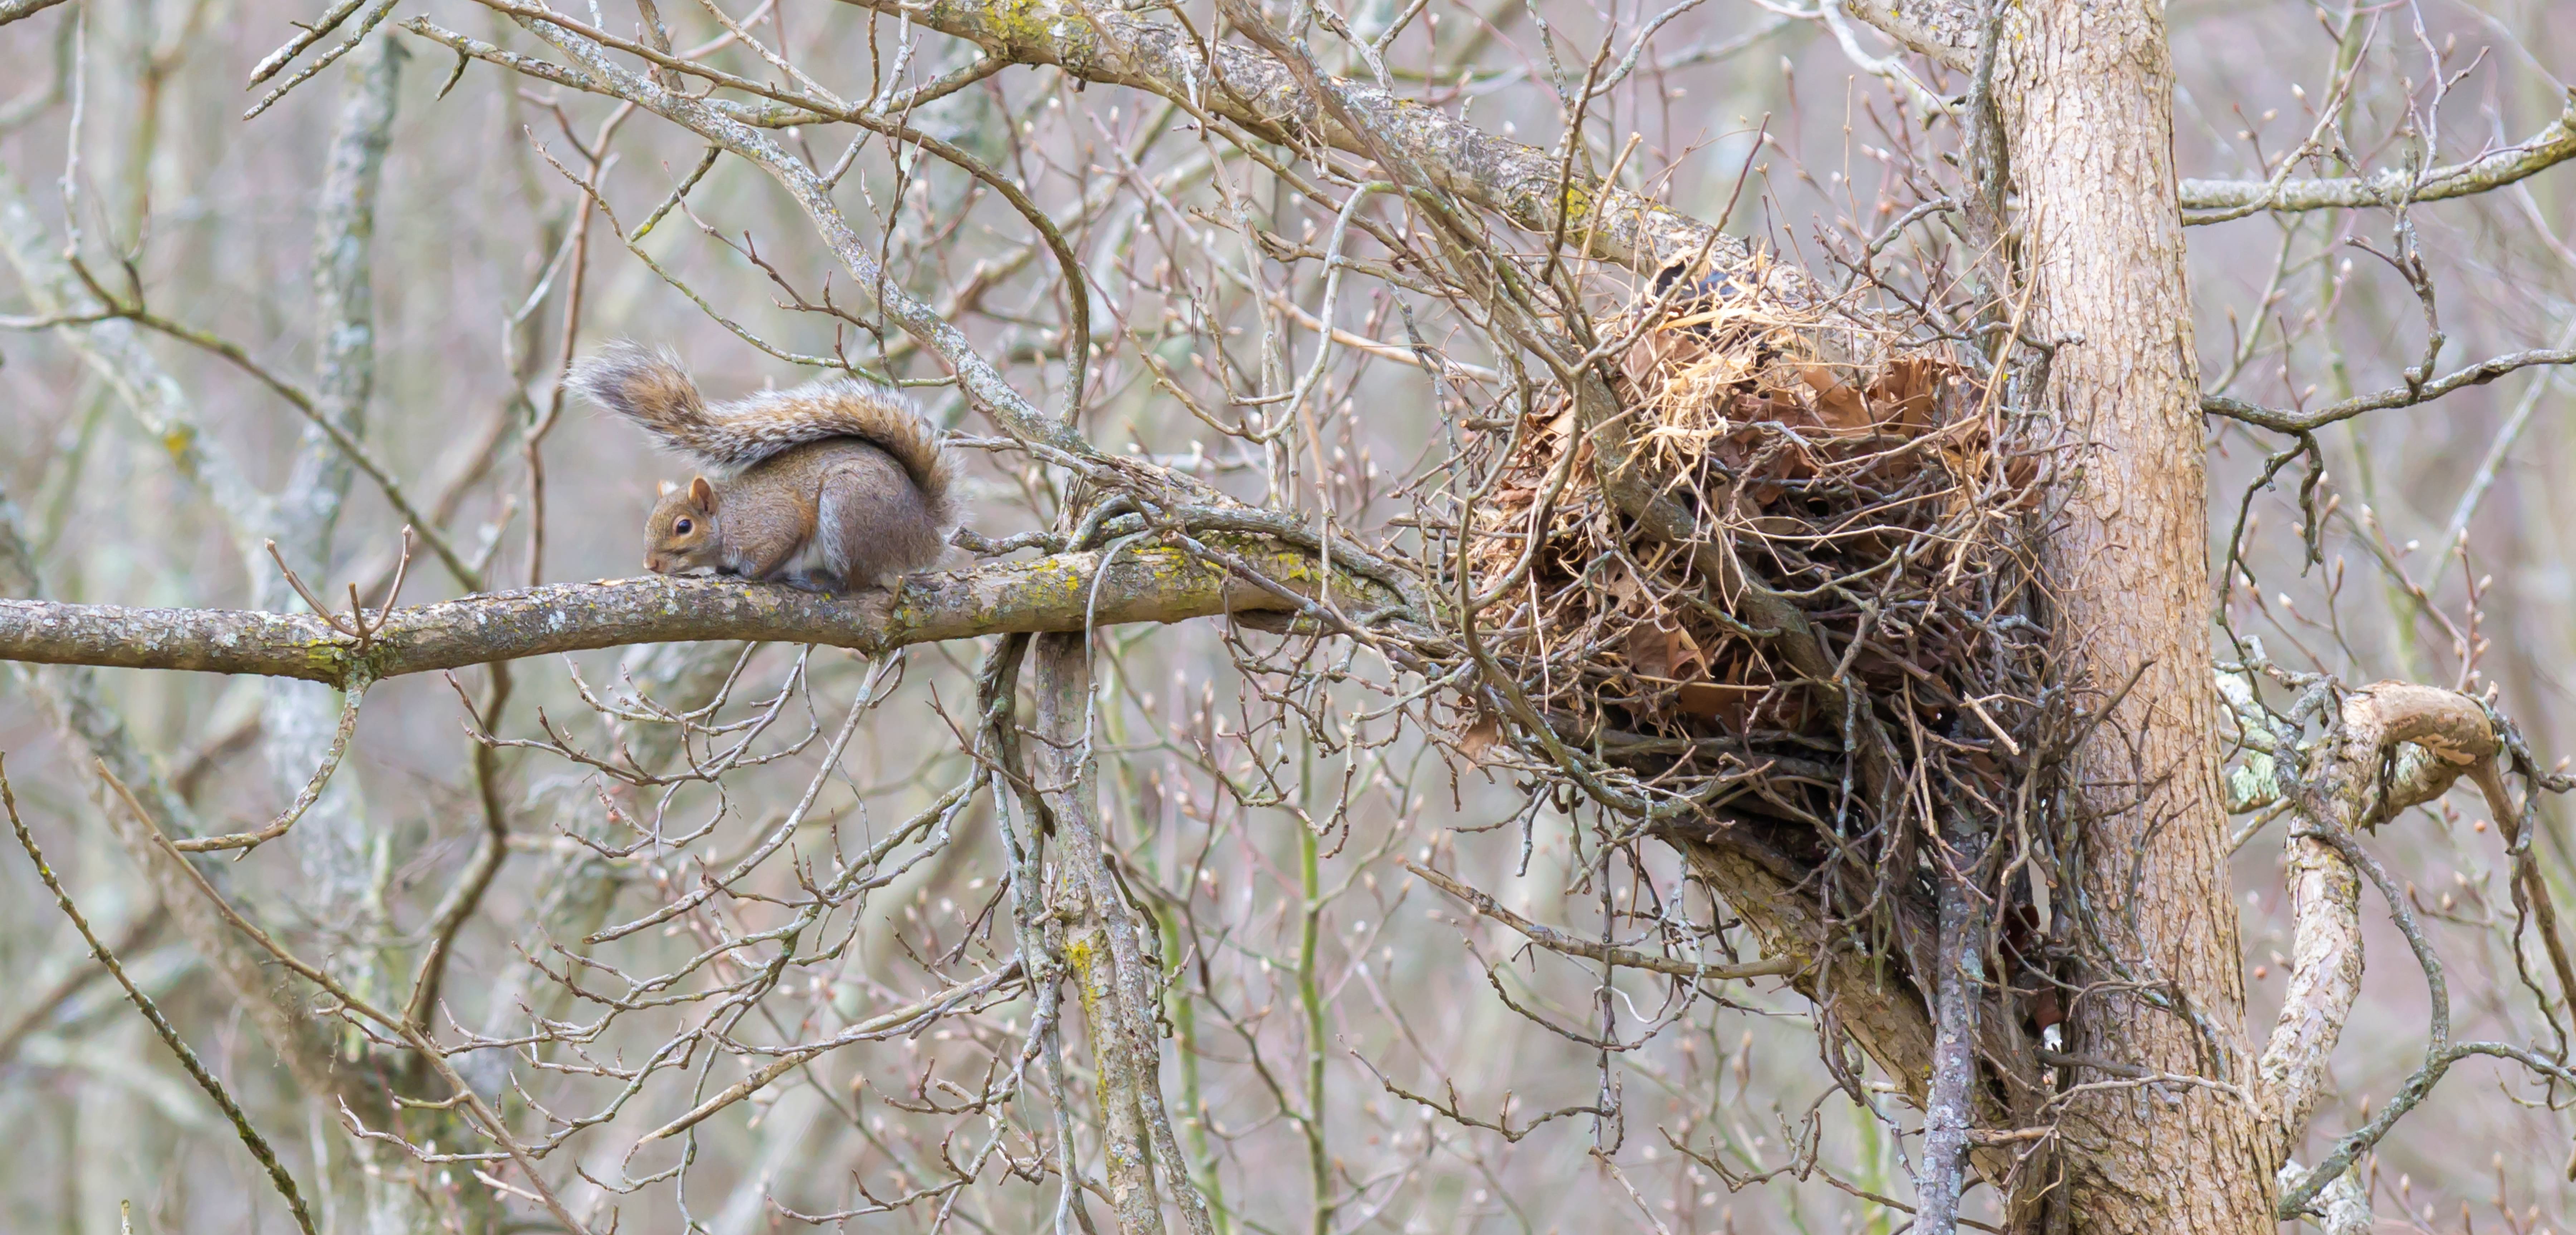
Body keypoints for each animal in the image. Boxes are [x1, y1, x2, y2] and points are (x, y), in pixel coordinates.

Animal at [569, 344, 963, 597]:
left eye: (684, 527)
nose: (650, 564)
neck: (729, 517)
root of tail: (926, 529)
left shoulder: (774, 524)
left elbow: (775, 548)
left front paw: (747, 574)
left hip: (848, 510)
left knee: (856, 581)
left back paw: (820, 582)